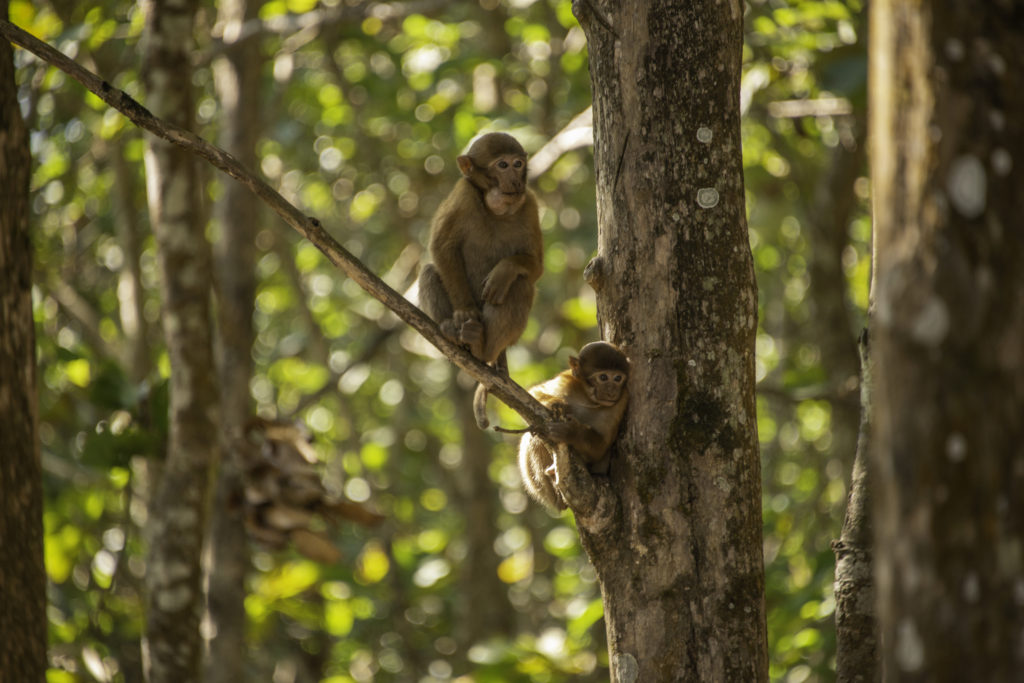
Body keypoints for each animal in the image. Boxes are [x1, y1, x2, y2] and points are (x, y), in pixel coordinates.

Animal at [413, 132, 544, 430]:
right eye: (502, 165)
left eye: (518, 163)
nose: (515, 182)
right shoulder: (463, 194)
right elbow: (441, 247)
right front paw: (465, 312)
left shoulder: (530, 203)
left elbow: (535, 268)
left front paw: (505, 270)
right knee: (429, 271)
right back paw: (453, 332)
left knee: (519, 285)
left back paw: (481, 348)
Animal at [516, 342, 626, 511]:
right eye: (603, 377)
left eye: (618, 378)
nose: (612, 390)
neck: (588, 398)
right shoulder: (567, 381)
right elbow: (534, 392)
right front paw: (555, 402)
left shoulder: (621, 401)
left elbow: (600, 448)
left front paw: (570, 432)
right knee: (533, 437)